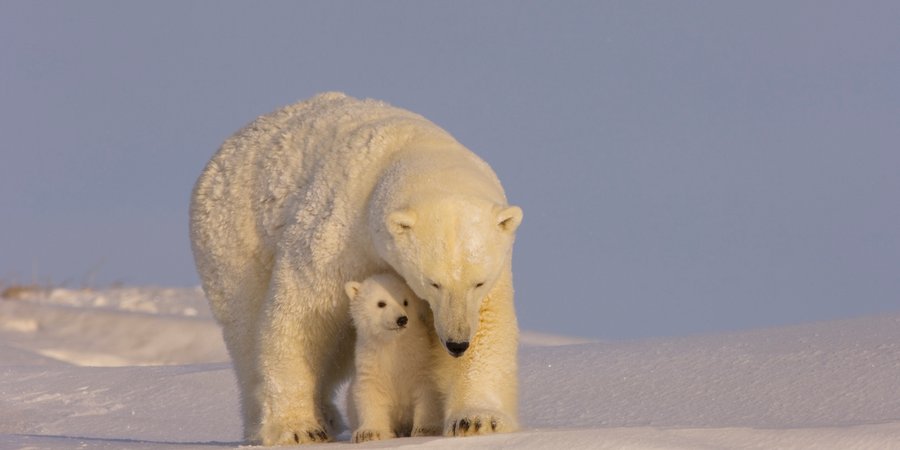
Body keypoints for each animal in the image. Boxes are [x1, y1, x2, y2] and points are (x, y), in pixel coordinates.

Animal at [344, 272, 443, 443]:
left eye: (405, 301)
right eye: (381, 303)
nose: (401, 319)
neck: (393, 345)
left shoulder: (420, 360)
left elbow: (427, 391)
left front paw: (426, 429)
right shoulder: (371, 361)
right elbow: (369, 392)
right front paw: (368, 433)